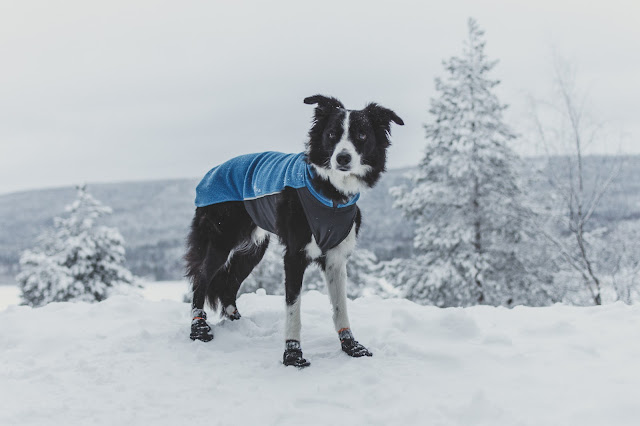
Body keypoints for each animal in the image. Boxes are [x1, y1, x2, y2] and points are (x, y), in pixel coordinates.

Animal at [185, 95, 402, 366]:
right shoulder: (295, 256)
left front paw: (351, 346)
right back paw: (199, 328)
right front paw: (292, 353)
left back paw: (238, 324)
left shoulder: (336, 258)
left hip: (254, 249)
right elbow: (293, 307)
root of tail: (210, 174)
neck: (331, 193)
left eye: (362, 135)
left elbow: (340, 306)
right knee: (201, 278)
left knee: (228, 284)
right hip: (220, 242)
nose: (342, 158)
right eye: (332, 134)